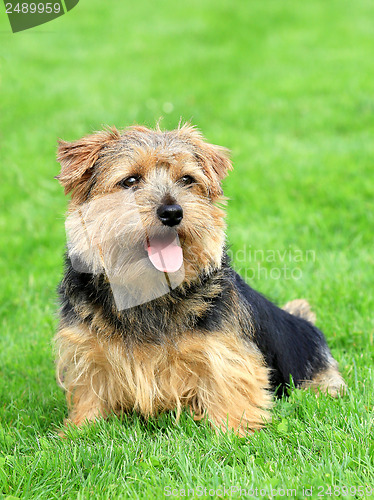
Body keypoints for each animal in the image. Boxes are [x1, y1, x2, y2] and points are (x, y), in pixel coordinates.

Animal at [54, 124, 346, 434]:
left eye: (187, 179)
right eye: (130, 180)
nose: (172, 212)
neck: (149, 290)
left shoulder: (224, 350)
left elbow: (230, 384)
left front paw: (234, 430)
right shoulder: (87, 349)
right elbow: (91, 389)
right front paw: (80, 428)